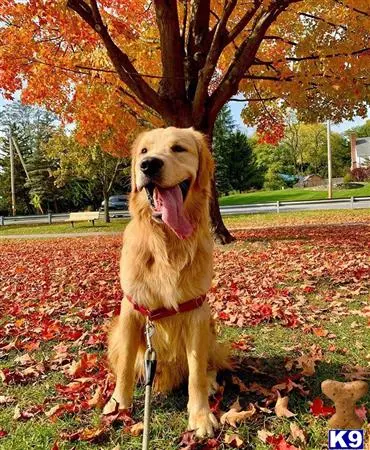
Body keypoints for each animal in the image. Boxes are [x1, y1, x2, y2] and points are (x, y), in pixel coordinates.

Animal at [105, 125, 228, 436]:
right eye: (144, 151)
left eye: (178, 148)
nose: (148, 165)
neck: (166, 242)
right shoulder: (132, 310)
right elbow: (125, 366)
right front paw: (118, 404)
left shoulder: (196, 312)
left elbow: (196, 373)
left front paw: (200, 415)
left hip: (211, 327)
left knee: (207, 366)